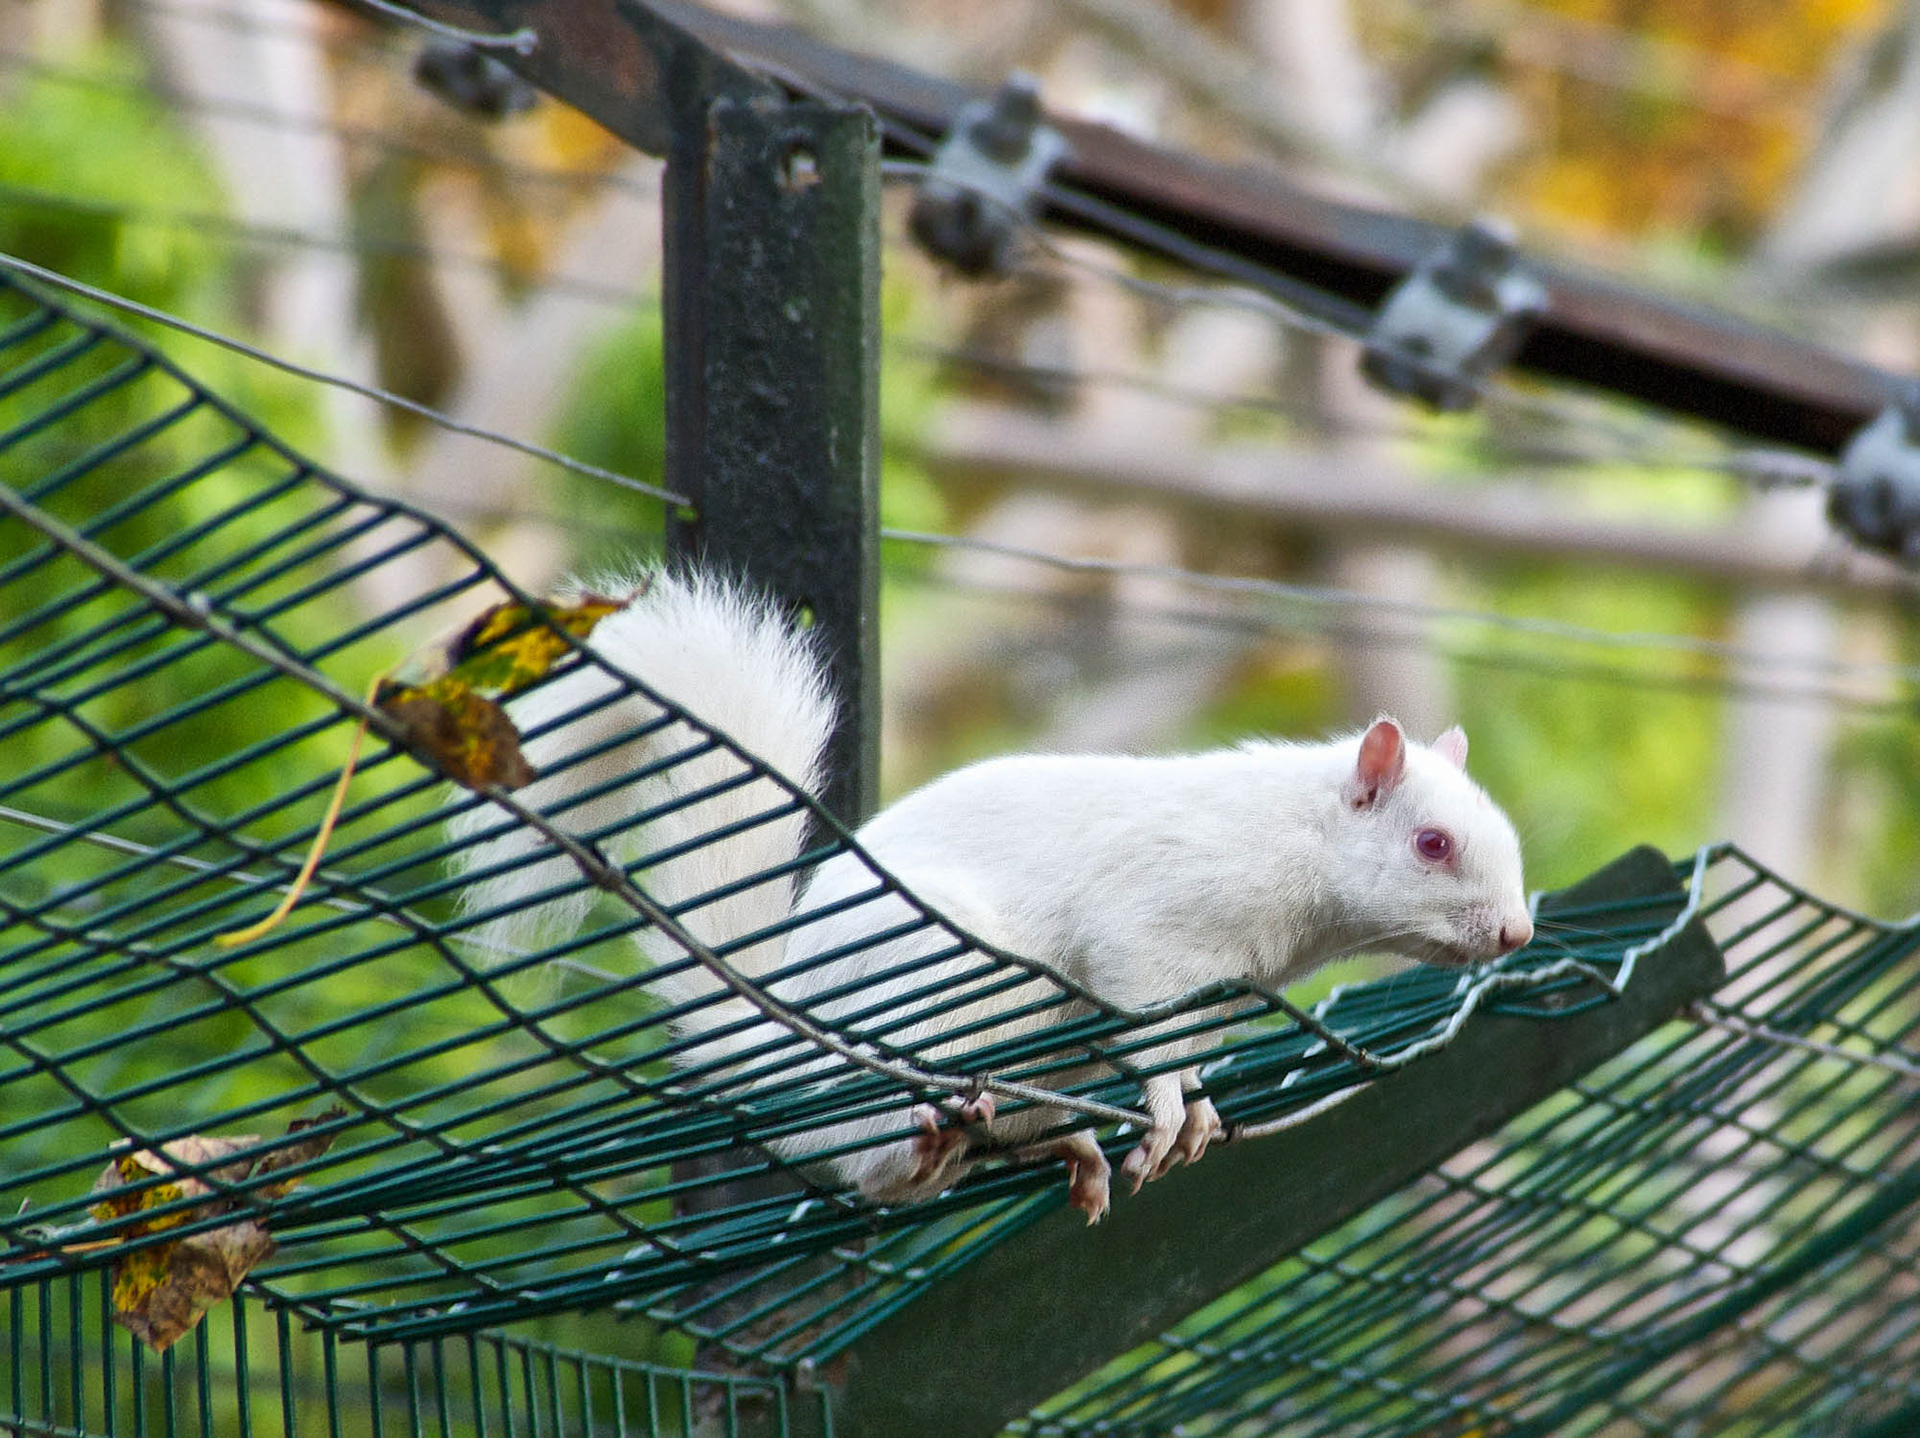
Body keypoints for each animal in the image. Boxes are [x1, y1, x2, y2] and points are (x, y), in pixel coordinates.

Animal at [449, 568, 1534, 1222]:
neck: (1293, 847)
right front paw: (1166, 1107)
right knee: (865, 1165)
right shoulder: (1155, 925)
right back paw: (927, 1156)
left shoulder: (1220, 991)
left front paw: (1197, 1114)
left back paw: (1070, 1151)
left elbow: (1185, 1056)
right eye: (1432, 844)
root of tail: (783, 1047)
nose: (1518, 931)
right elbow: (1144, 1022)